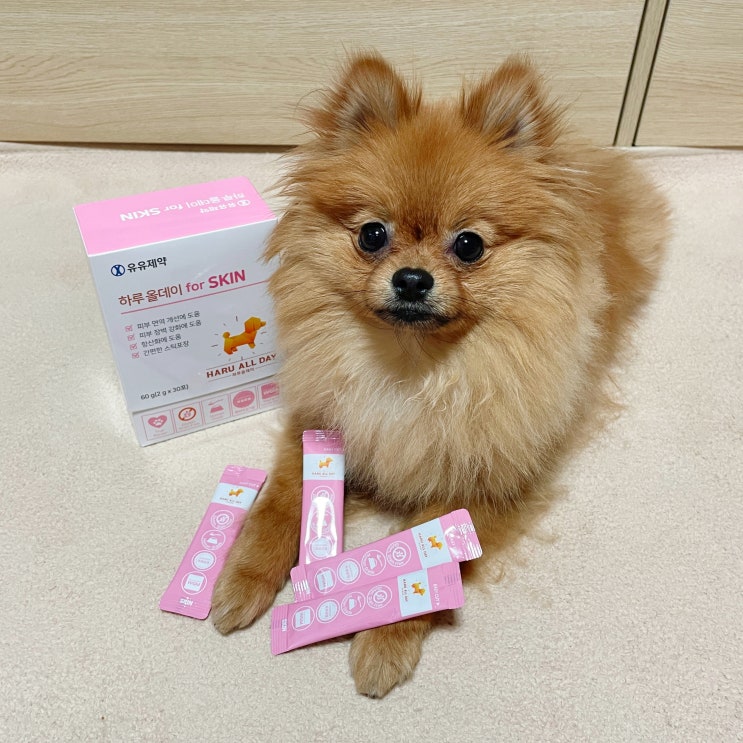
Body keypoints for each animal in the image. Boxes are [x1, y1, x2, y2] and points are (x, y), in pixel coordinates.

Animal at [211, 52, 668, 697]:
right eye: (372, 234)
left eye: (469, 244)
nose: (411, 278)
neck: (413, 365)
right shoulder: (319, 421)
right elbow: (279, 505)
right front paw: (242, 579)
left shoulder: (487, 480)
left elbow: (431, 548)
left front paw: (384, 639)